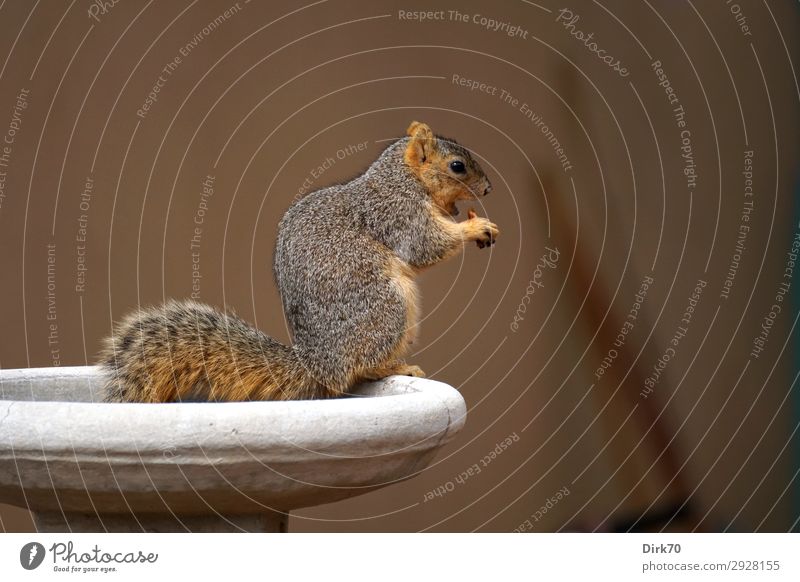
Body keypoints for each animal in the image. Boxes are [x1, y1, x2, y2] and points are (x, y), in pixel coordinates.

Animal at [98, 122, 500, 406]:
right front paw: (475, 226)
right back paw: (395, 365)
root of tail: (318, 365)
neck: (403, 178)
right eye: (457, 166)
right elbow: (425, 245)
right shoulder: (397, 213)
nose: (488, 189)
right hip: (386, 308)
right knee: (362, 367)